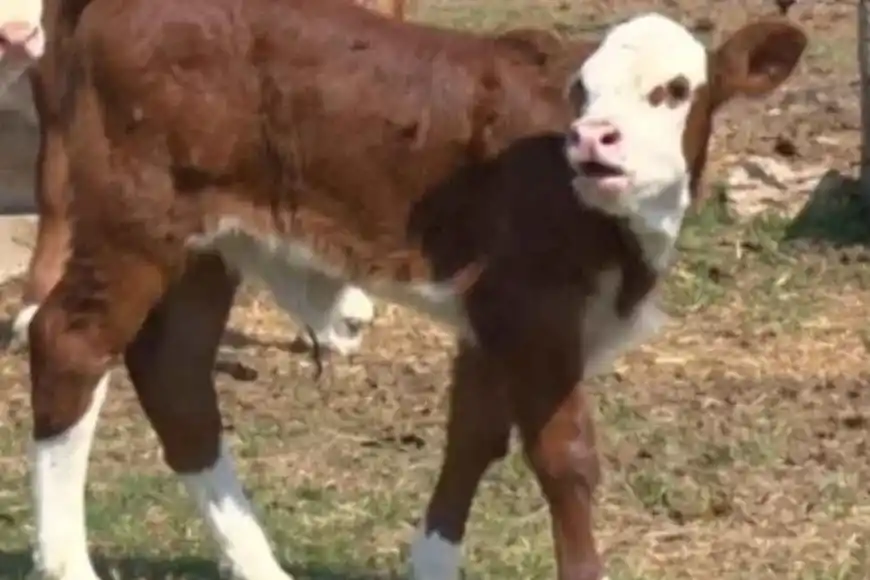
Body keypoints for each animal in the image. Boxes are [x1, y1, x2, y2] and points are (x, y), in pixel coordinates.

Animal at [18, 0, 806, 578]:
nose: (593, 138)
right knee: (70, 345)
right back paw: (67, 564)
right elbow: (565, 457)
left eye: (673, 92)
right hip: (135, 222)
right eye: (580, 91)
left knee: (175, 377)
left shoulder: (491, 317)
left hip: (208, 248)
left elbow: (472, 441)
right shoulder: (536, 312)